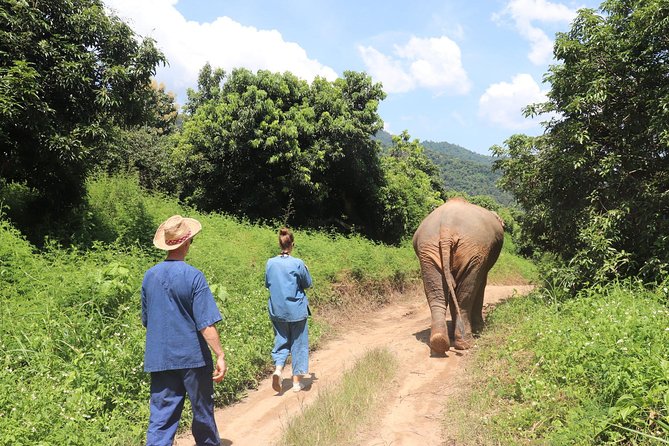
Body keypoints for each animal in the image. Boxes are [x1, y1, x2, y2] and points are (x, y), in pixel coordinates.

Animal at [412, 197, 500, 354]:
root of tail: (446, 228)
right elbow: (481, 283)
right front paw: (480, 330)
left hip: (427, 249)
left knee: (437, 293)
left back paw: (440, 342)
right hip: (472, 250)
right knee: (466, 294)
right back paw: (465, 343)